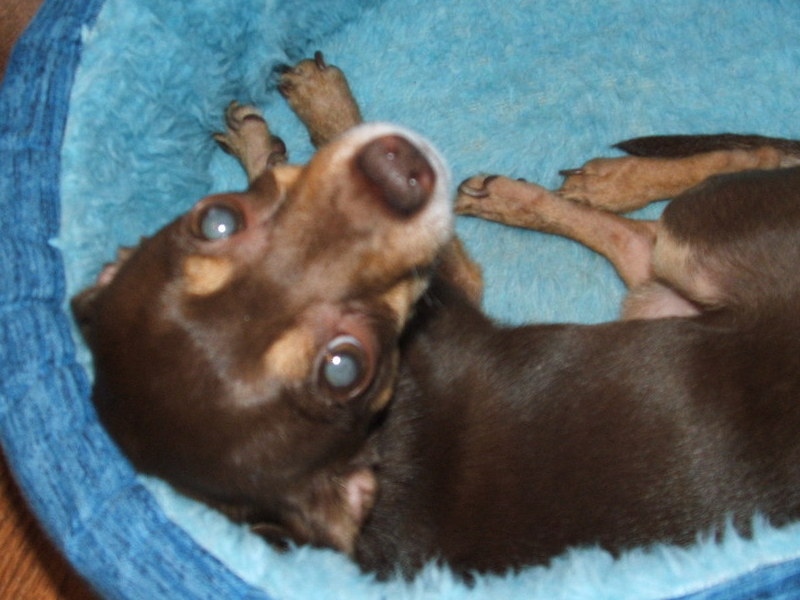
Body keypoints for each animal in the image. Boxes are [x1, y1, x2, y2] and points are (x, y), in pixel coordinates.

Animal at [72, 54, 800, 580]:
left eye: (216, 220)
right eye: (343, 367)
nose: (396, 170)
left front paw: (287, 130)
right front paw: (312, 123)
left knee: (746, 161)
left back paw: (601, 183)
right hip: (693, 239)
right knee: (679, 211)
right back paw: (561, 192)